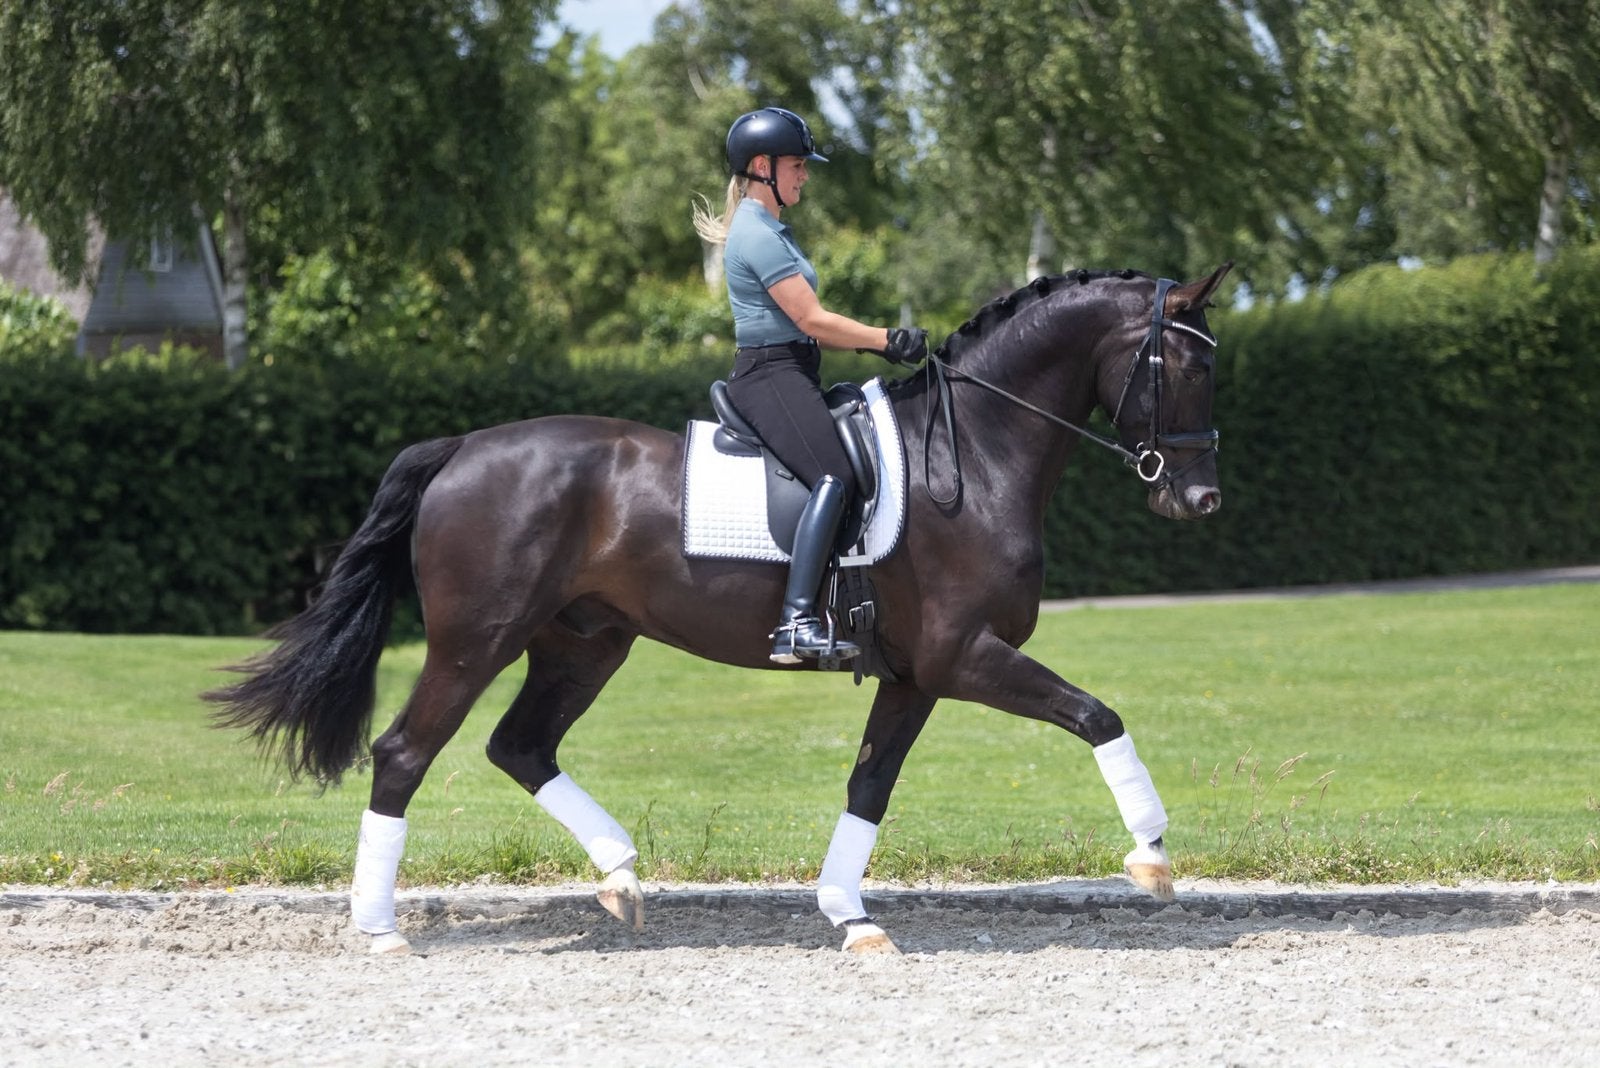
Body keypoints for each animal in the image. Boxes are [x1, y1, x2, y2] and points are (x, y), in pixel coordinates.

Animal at [206, 263, 1233, 956]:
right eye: (1183, 370)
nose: (1201, 501)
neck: (973, 455)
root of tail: (461, 447)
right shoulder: (963, 656)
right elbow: (1097, 715)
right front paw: (1152, 855)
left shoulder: (915, 674)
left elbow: (869, 785)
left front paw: (849, 916)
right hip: (475, 640)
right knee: (404, 753)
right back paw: (381, 929)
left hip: (583, 644)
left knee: (520, 746)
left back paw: (621, 875)